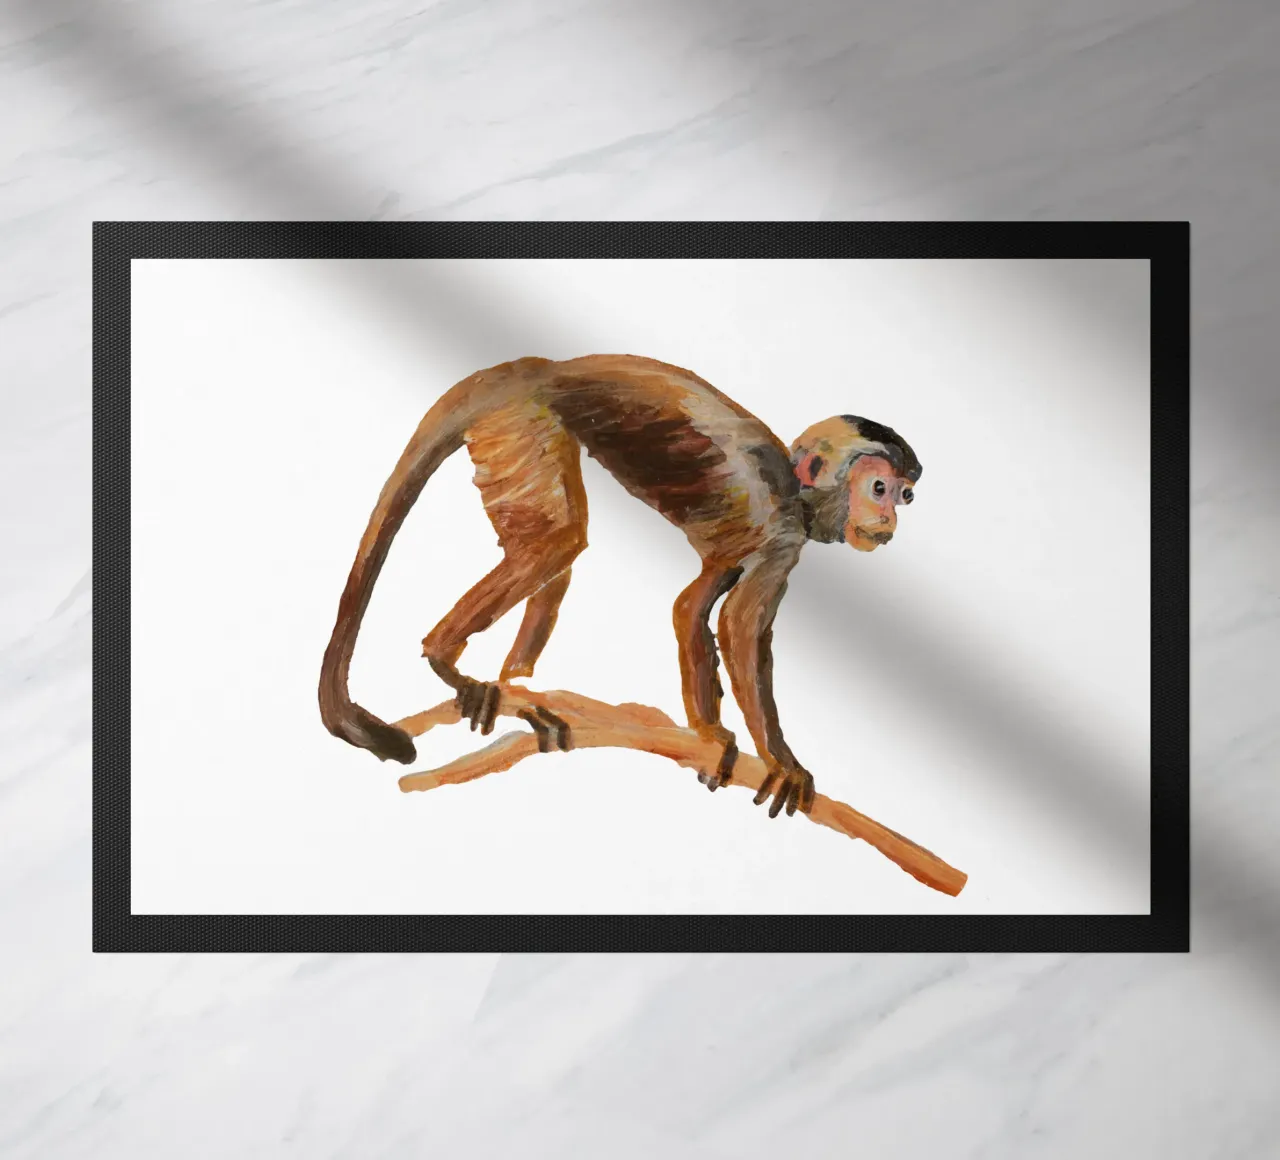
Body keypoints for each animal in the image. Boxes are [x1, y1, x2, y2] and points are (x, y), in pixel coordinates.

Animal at [318, 354, 921, 819]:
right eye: (879, 488)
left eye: (904, 495)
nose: (890, 518)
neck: (799, 493)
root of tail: (535, 368)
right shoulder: (782, 535)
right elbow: (726, 623)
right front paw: (760, 754)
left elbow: (698, 606)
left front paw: (732, 742)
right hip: (521, 424)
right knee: (560, 541)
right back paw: (448, 660)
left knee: (554, 552)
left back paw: (517, 684)